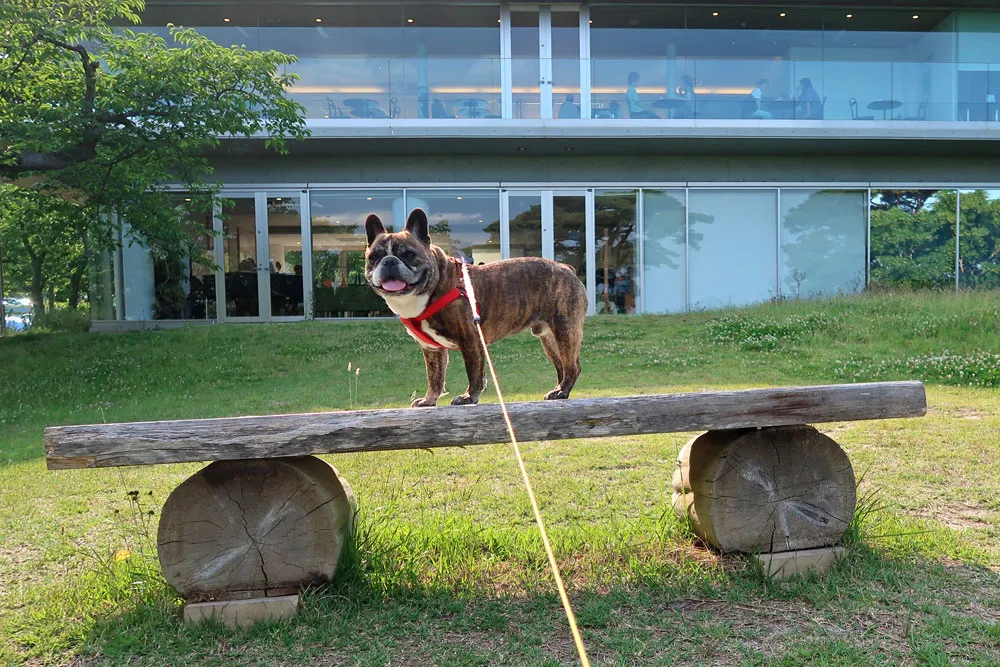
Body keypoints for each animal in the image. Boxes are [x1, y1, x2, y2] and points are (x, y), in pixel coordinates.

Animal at [366, 209, 584, 408]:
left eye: (409, 255)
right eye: (373, 257)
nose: (389, 261)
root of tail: (566, 268)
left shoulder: (470, 339)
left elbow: (473, 372)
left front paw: (469, 397)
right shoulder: (432, 349)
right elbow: (435, 377)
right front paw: (429, 400)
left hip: (565, 330)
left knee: (572, 366)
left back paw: (562, 391)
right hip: (549, 339)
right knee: (562, 365)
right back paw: (558, 390)